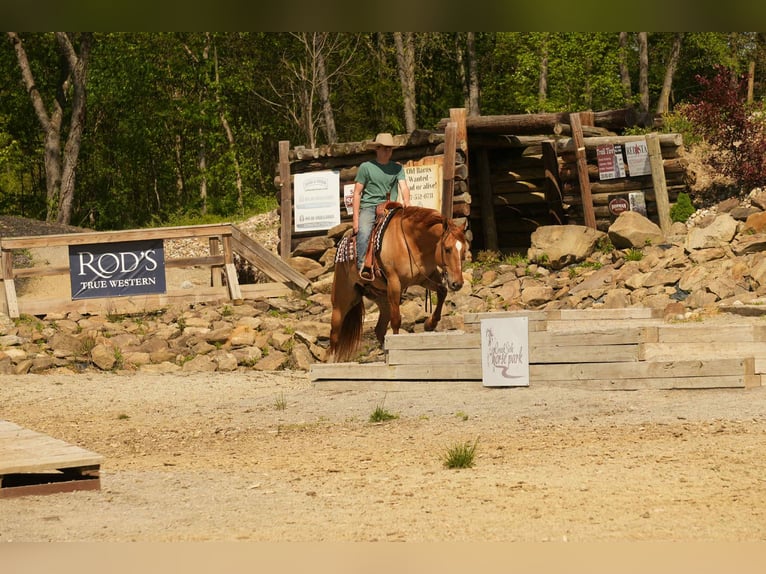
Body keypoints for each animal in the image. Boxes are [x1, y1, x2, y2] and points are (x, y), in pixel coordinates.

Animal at [328, 205, 467, 362]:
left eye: (464, 250)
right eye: (447, 249)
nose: (457, 283)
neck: (411, 242)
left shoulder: (425, 278)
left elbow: (442, 291)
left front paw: (430, 324)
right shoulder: (394, 284)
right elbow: (396, 320)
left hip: (382, 300)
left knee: (379, 329)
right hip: (342, 300)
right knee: (334, 334)